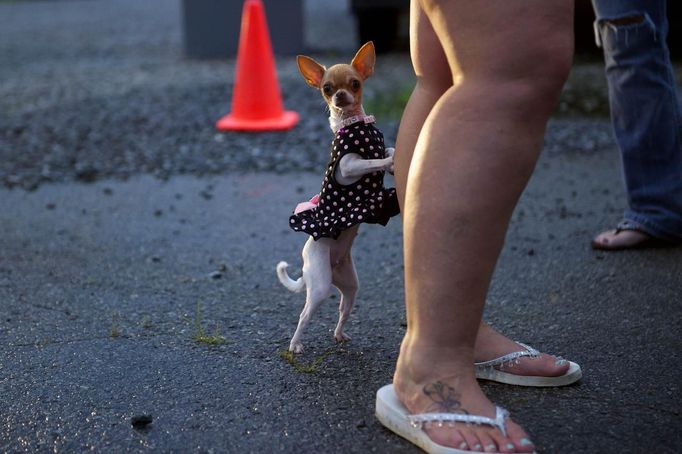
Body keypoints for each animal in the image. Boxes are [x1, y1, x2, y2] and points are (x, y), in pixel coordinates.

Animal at [274, 42, 396, 352]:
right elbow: (370, 162)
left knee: (342, 310)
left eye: (355, 83)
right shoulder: (348, 168)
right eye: (327, 88)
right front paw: (388, 163)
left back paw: (339, 334)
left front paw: (390, 159)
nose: (340, 95)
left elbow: (385, 150)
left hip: (349, 285)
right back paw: (295, 345)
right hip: (319, 287)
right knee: (304, 314)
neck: (355, 123)